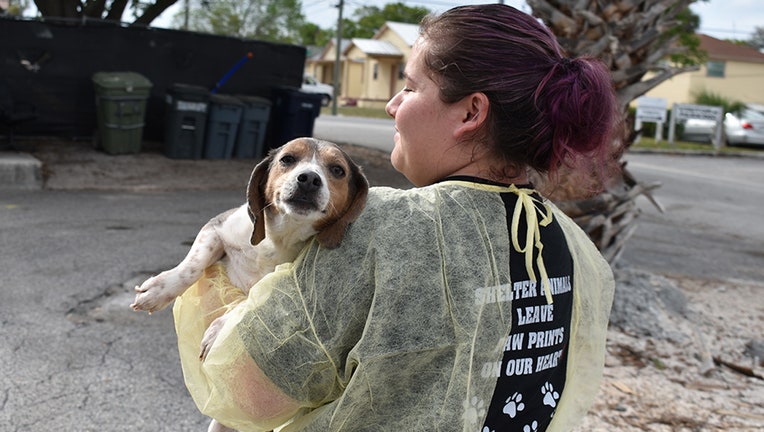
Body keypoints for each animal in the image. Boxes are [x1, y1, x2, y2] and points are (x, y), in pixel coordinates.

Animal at [130, 138, 368, 428]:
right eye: (288, 159)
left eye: (337, 170)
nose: (309, 179)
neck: (279, 238)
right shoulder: (217, 227)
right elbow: (192, 265)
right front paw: (159, 290)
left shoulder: (284, 284)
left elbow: (247, 302)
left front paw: (218, 329)